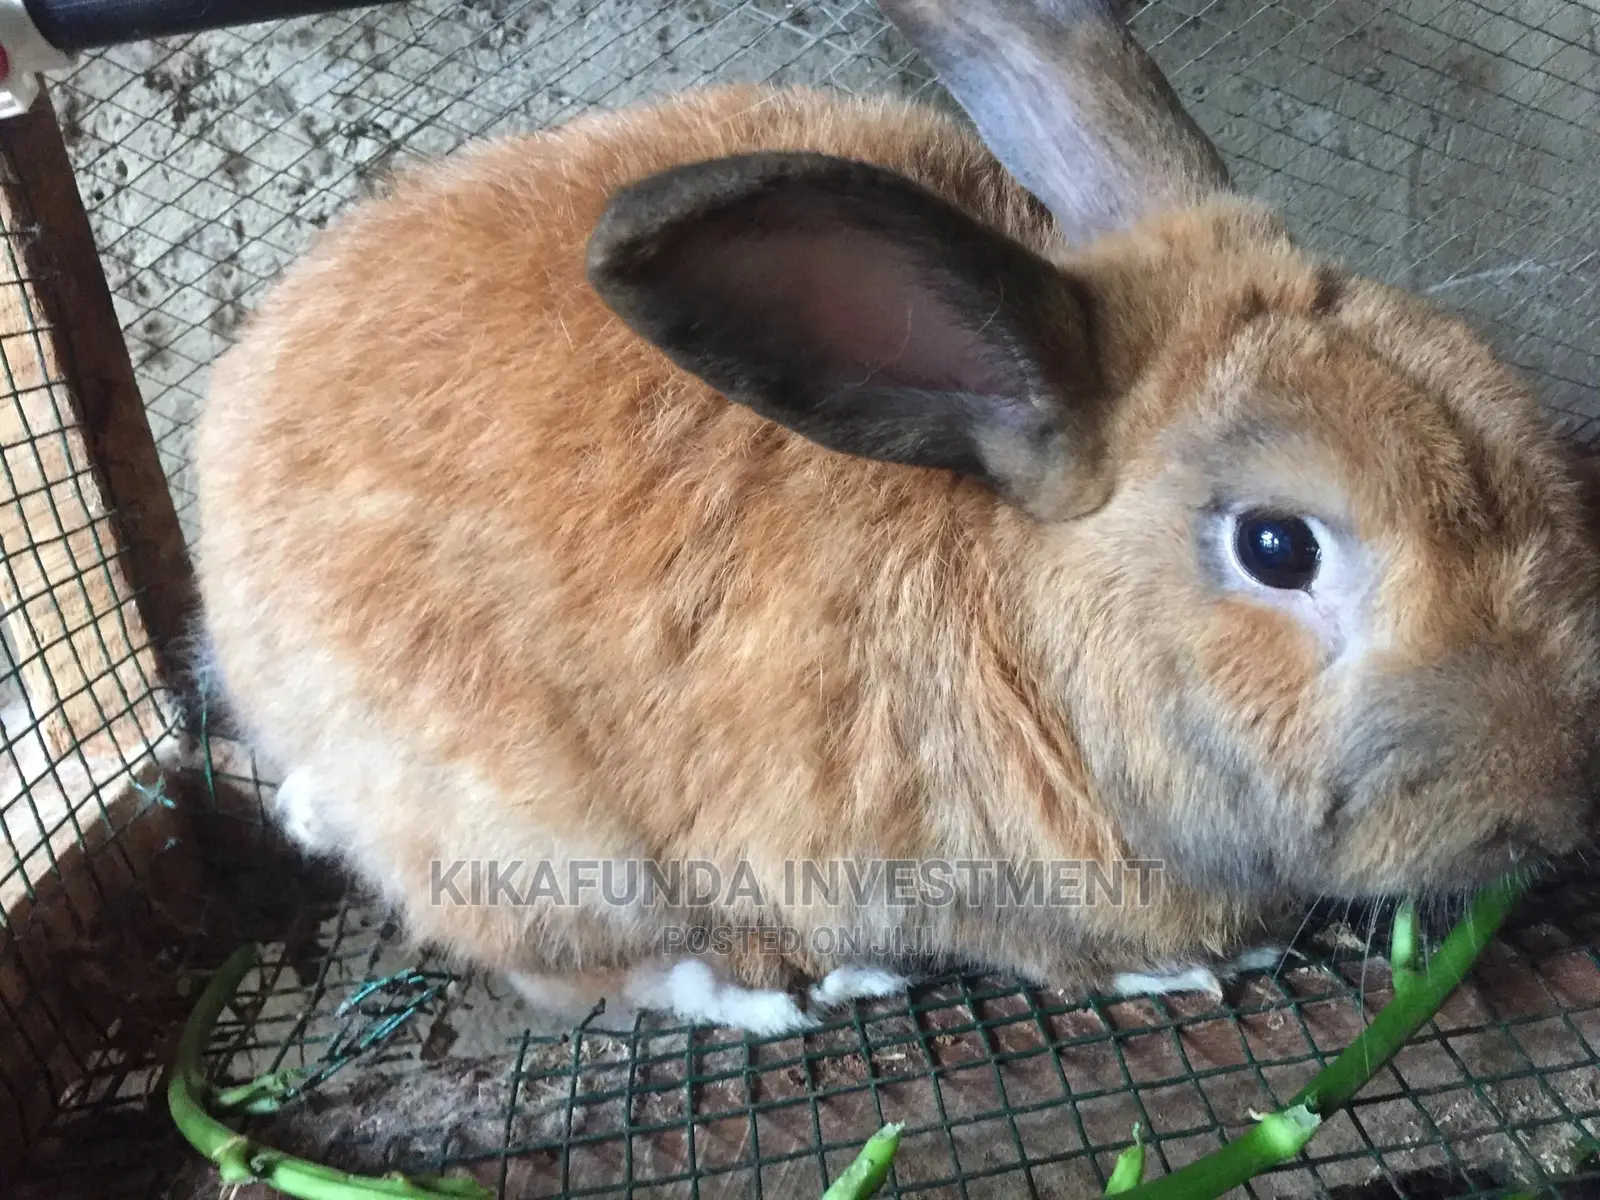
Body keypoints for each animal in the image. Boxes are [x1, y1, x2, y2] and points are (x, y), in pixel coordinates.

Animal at [193, 0, 1600, 1035]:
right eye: (1275, 546)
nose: (1561, 799)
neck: (1026, 625)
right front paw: (1182, 968)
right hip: (528, 842)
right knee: (578, 964)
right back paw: (773, 992)